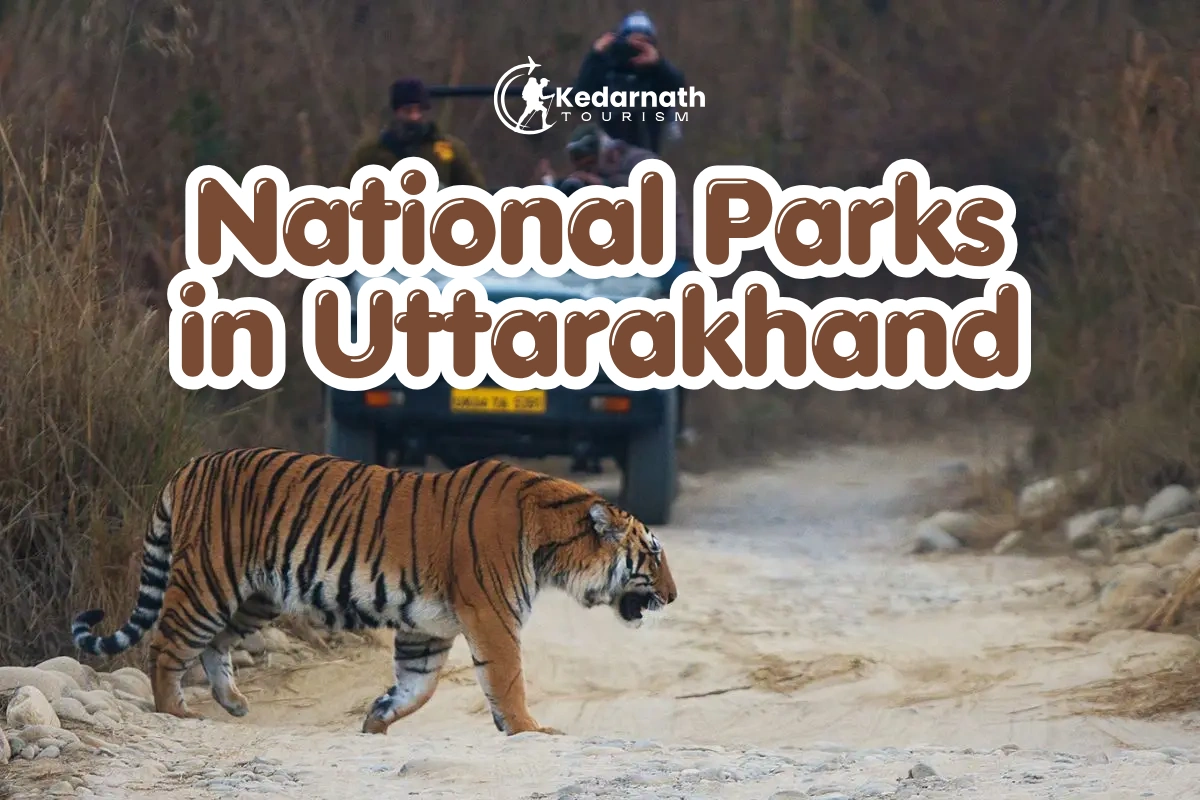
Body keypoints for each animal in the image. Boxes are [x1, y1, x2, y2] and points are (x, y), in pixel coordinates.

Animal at [70, 447, 677, 737]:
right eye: (653, 554)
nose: (672, 597)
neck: (552, 542)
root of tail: (191, 464)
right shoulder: (492, 617)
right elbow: (507, 680)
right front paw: (530, 729)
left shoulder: (427, 628)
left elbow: (419, 687)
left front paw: (377, 717)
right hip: (208, 580)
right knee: (166, 645)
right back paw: (175, 710)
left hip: (257, 595)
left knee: (216, 645)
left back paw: (233, 702)